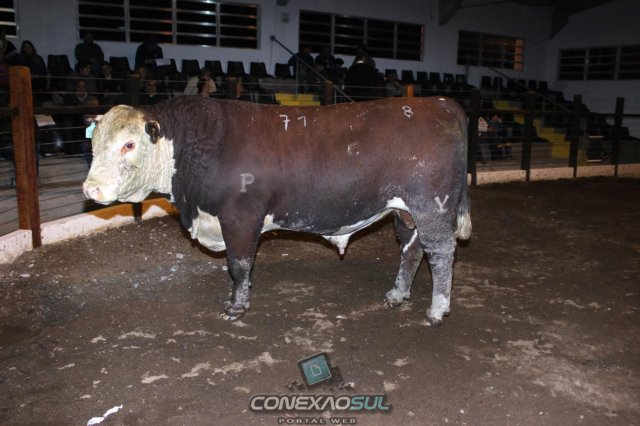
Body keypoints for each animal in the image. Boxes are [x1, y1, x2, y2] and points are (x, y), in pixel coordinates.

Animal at [83, 96, 471, 325]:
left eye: (129, 144)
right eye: (94, 143)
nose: (90, 188)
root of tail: (439, 102)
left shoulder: (240, 217)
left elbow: (239, 266)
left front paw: (236, 307)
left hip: (431, 206)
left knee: (440, 252)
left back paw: (437, 310)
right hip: (405, 212)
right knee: (411, 250)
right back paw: (397, 294)